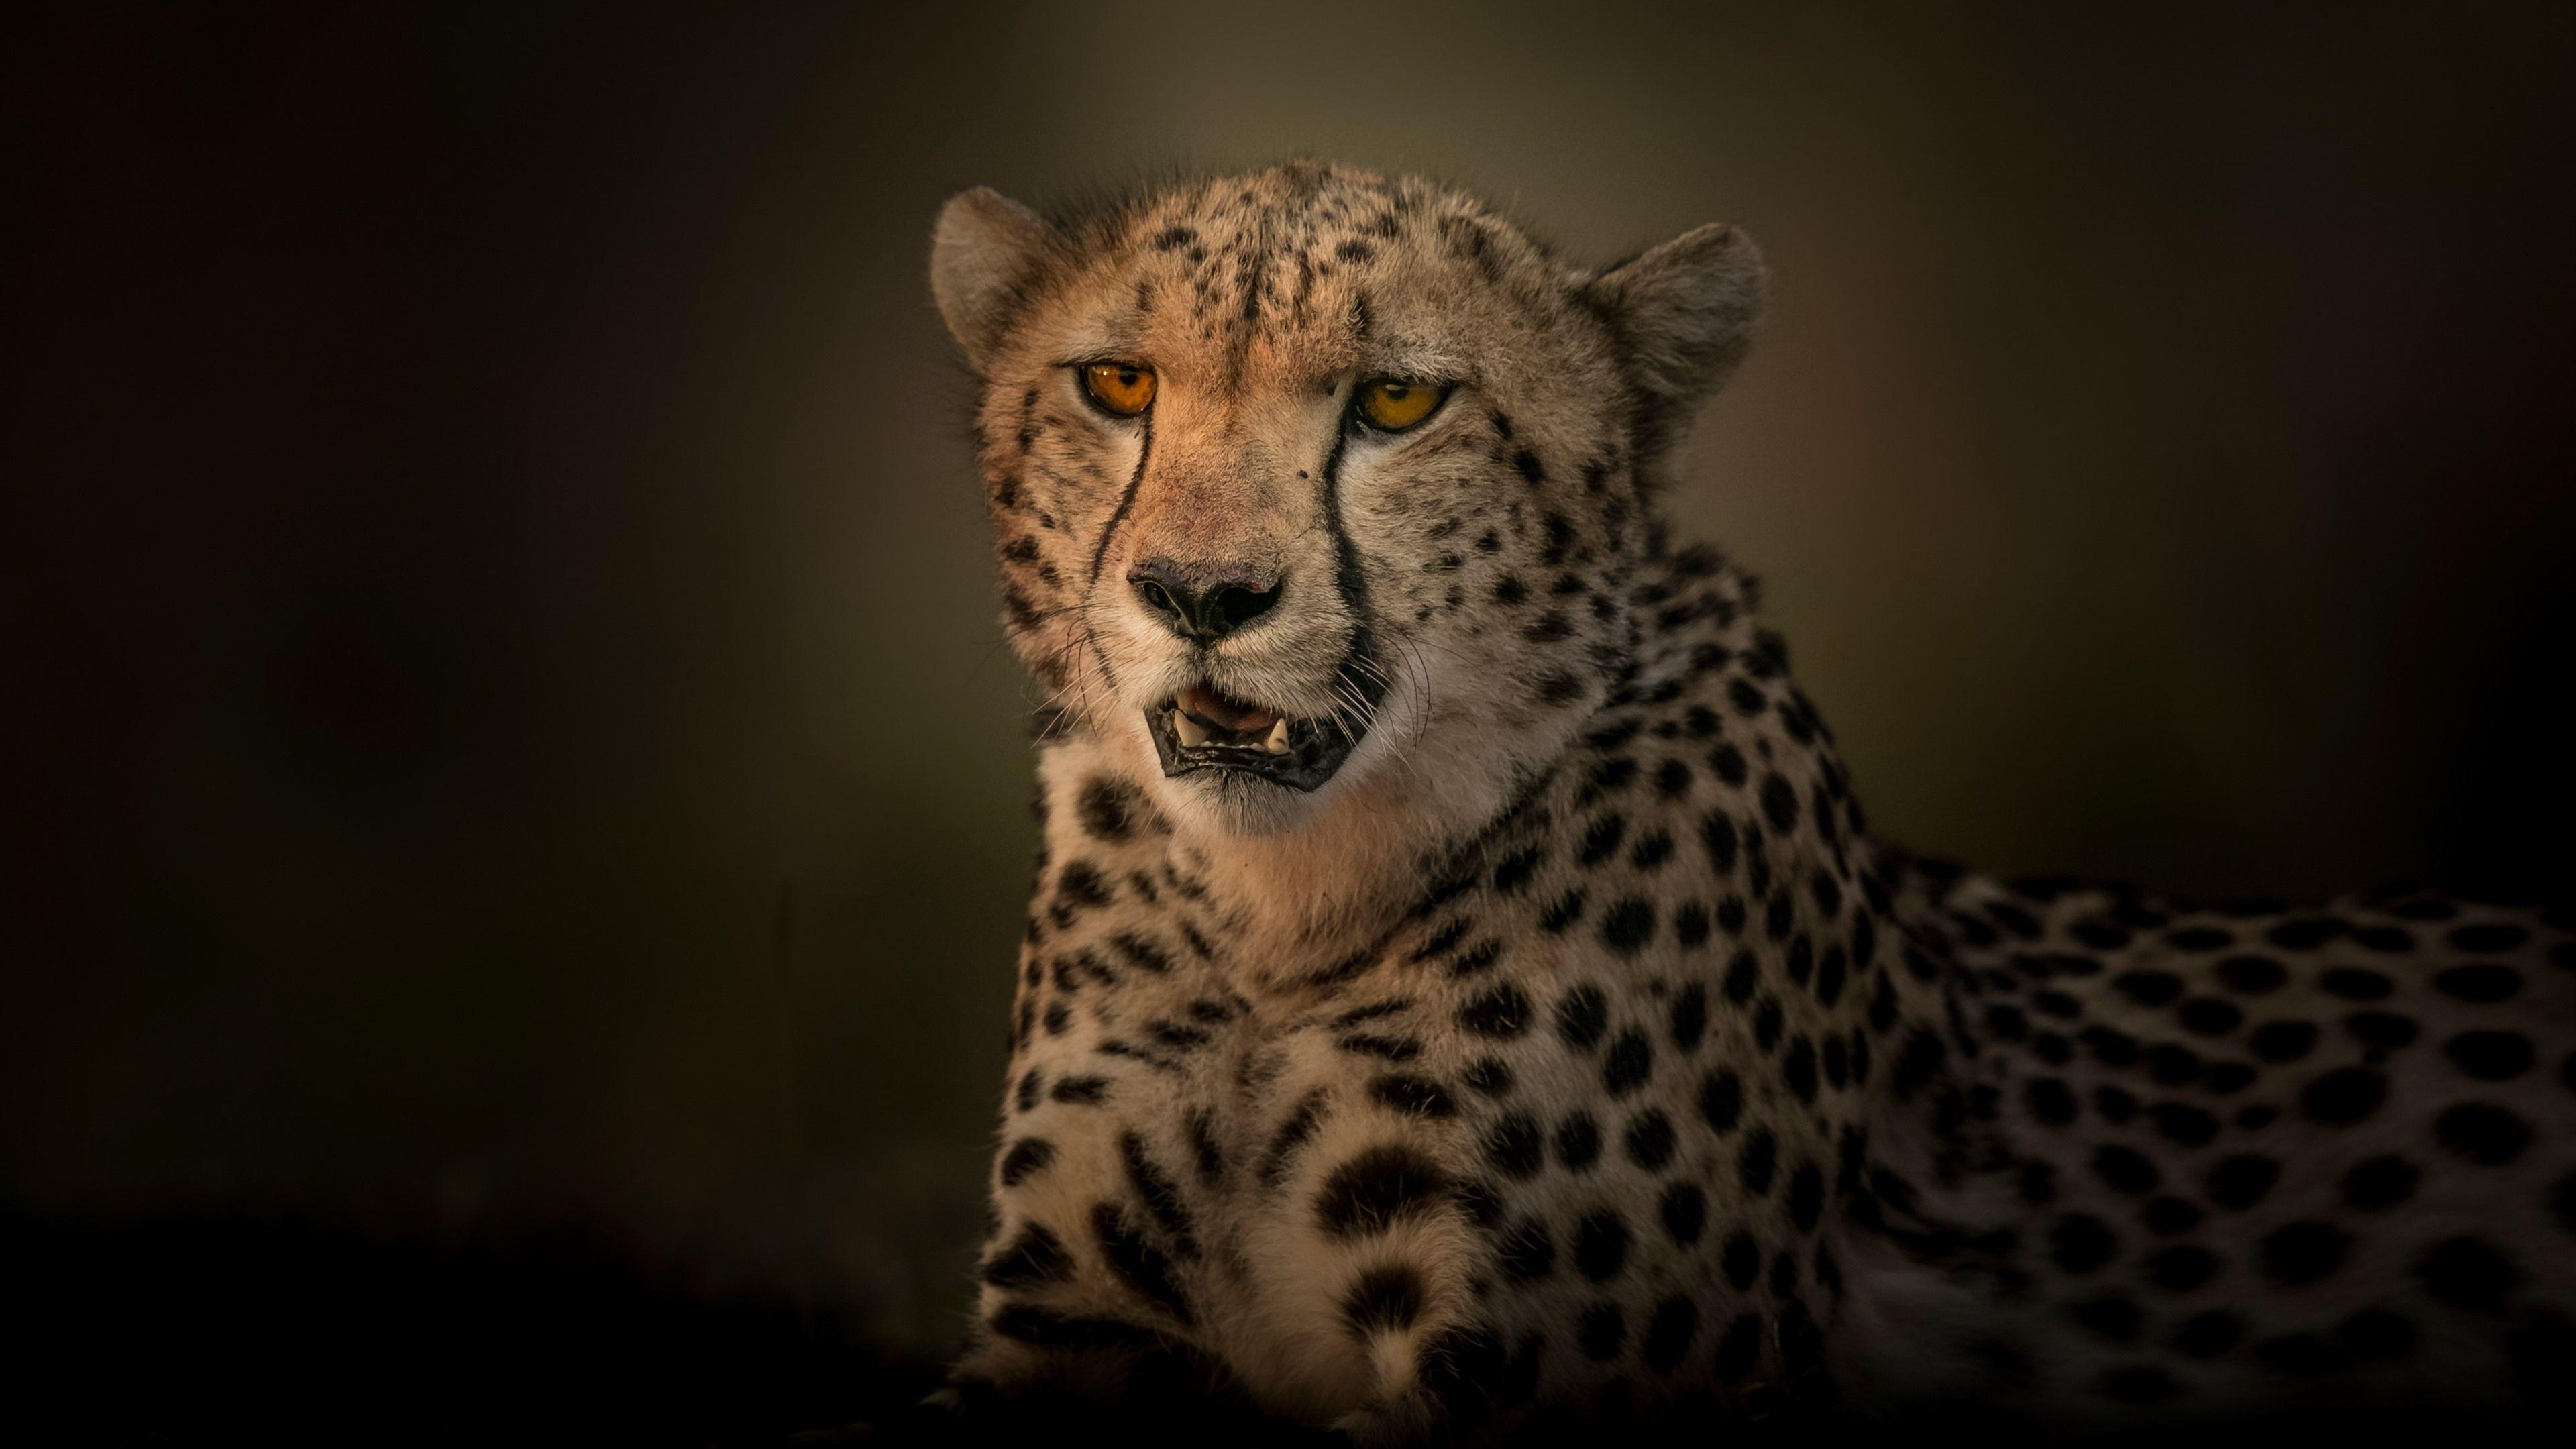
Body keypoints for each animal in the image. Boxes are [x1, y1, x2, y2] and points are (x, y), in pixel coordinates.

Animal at [914, 160, 2574, 1443]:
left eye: (1396, 400)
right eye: (1119, 383)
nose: (1202, 596)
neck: (1288, 915)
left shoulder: (1557, 1387)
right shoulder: (1071, 1326)